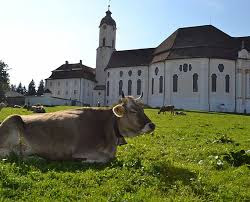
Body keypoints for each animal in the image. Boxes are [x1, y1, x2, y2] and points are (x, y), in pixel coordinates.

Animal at [0, 92, 154, 163]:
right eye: (133, 110)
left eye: (143, 108)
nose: (152, 125)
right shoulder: (82, 150)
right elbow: (106, 158)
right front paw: (86, 160)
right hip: (13, 120)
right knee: (14, 154)